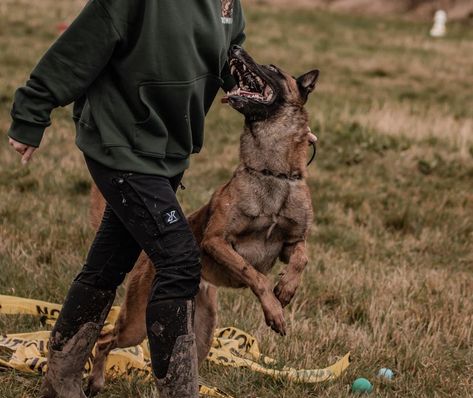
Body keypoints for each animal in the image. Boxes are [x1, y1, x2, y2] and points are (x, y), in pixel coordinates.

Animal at [86, 45, 318, 394]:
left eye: (273, 69)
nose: (235, 48)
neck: (272, 172)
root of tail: (147, 258)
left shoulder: (292, 242)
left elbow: (301, 258)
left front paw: (287, 289)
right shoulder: (216, 240)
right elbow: (254, 274)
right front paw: (274, 310)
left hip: (202, 333)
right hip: (137, 323)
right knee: (104, 338)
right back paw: (94, 380)